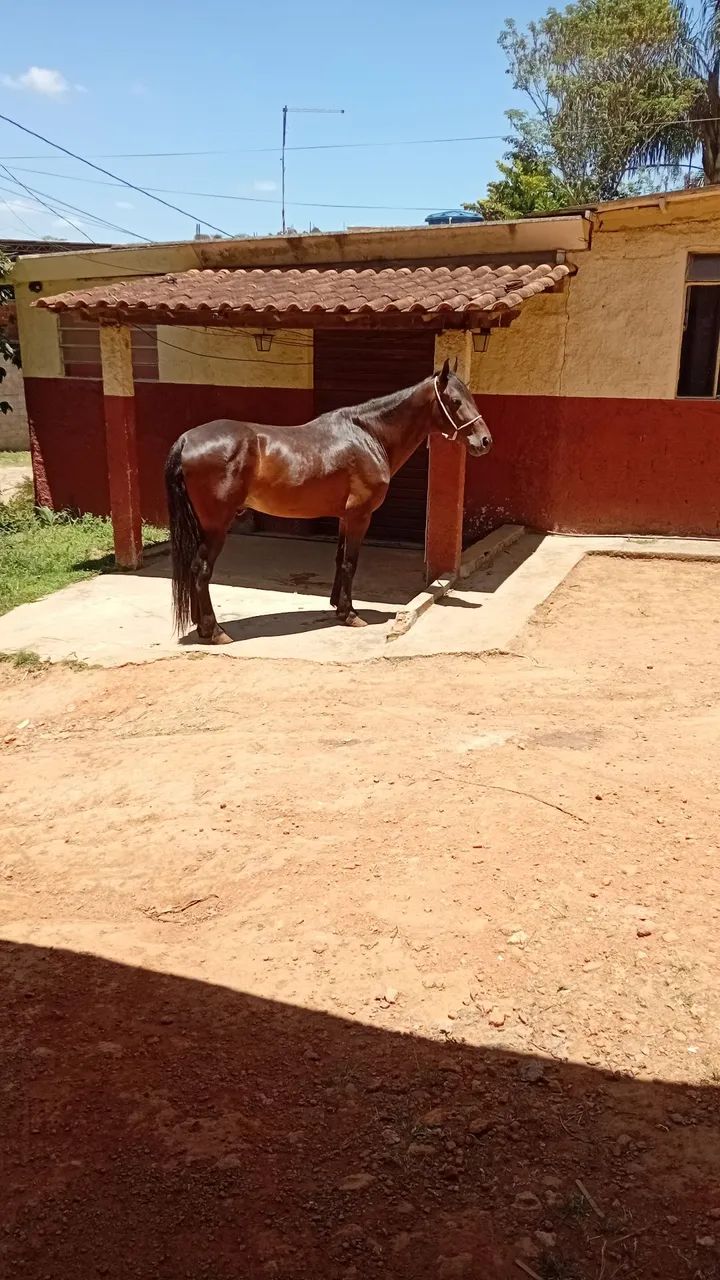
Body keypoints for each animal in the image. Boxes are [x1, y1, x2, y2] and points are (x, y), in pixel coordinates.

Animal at [164, 356, 492, 642]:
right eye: (455, 401)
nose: (485, 441)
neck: (368, 435)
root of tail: (186, 440)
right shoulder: (360, 516)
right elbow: (350, 562)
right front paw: (350, 614)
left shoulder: (345, 517)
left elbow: (339, 559)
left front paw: (338, 607)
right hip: (217, 526)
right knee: (201, 570)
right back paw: (215, 631)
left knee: (194, 569)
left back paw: (201, 625)